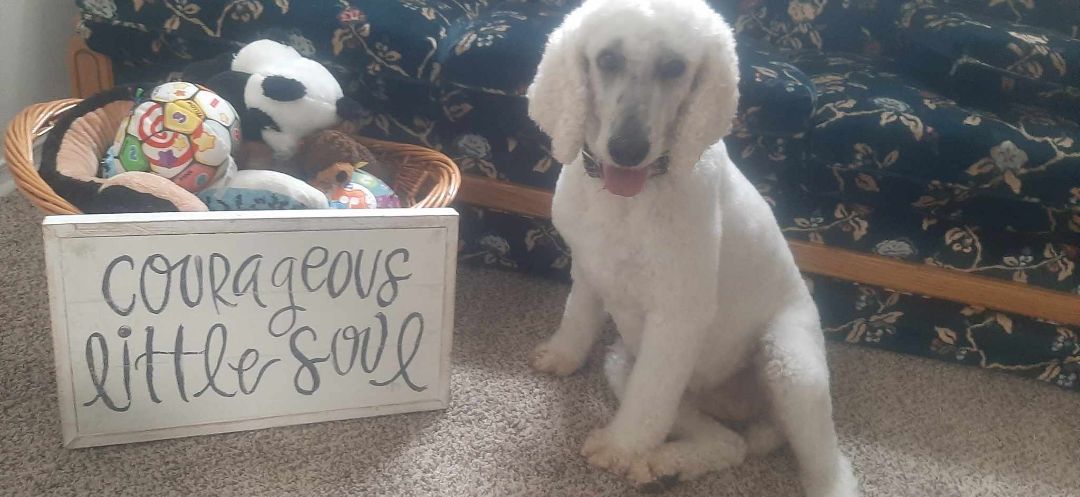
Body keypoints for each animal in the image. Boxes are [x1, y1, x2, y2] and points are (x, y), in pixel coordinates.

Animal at [527, 0, 855, 497]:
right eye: (607, 59)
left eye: (675, 67)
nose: (627, 149)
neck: (629, 200)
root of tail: (740, 408)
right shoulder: (588, 269)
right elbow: (577, 317)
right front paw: (562, 355)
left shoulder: (678, 314)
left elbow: (649, 402)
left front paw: (621, 448)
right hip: (626, 364)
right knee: (726, 443)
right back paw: (666, 464)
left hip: (793, 369)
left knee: (829, 465)